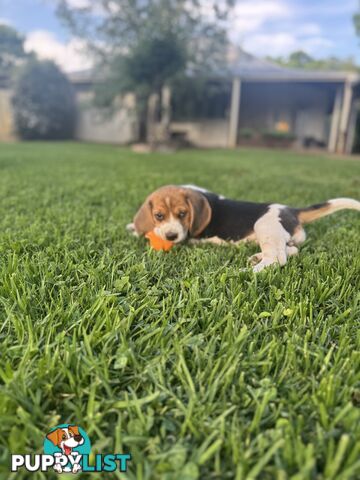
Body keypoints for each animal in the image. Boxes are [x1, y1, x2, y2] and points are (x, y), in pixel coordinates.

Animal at [128, 185, 360, 272]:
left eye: (183, 214)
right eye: (159, 216)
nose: (171, 235)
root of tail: (292, 211)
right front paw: (133, 226)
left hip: (264, 226)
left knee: (277, 258)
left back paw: (249, 271)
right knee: (290, 250)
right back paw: (256, 258)